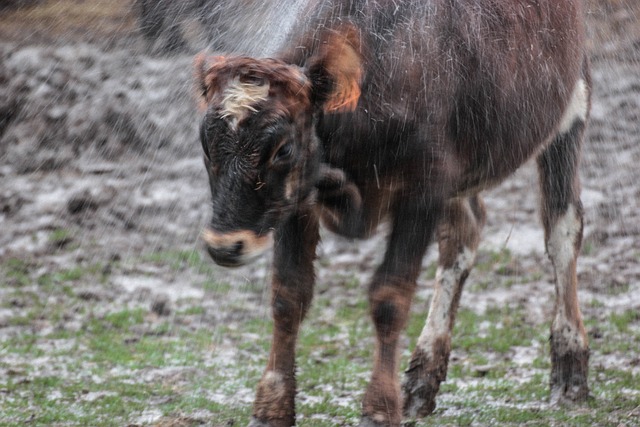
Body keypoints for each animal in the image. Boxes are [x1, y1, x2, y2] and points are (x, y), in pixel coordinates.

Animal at [194, 1, 592, 426]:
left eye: (283, 148)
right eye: (206, 143)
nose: (225, 245)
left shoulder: (424, 192)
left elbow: (390, 297)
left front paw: (379, 409)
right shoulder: (298, 203)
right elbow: (288, 295)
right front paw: (272, 407)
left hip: (571, 112)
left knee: (562, 232)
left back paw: (570, 372)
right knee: (462, 238)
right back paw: (421, 382)